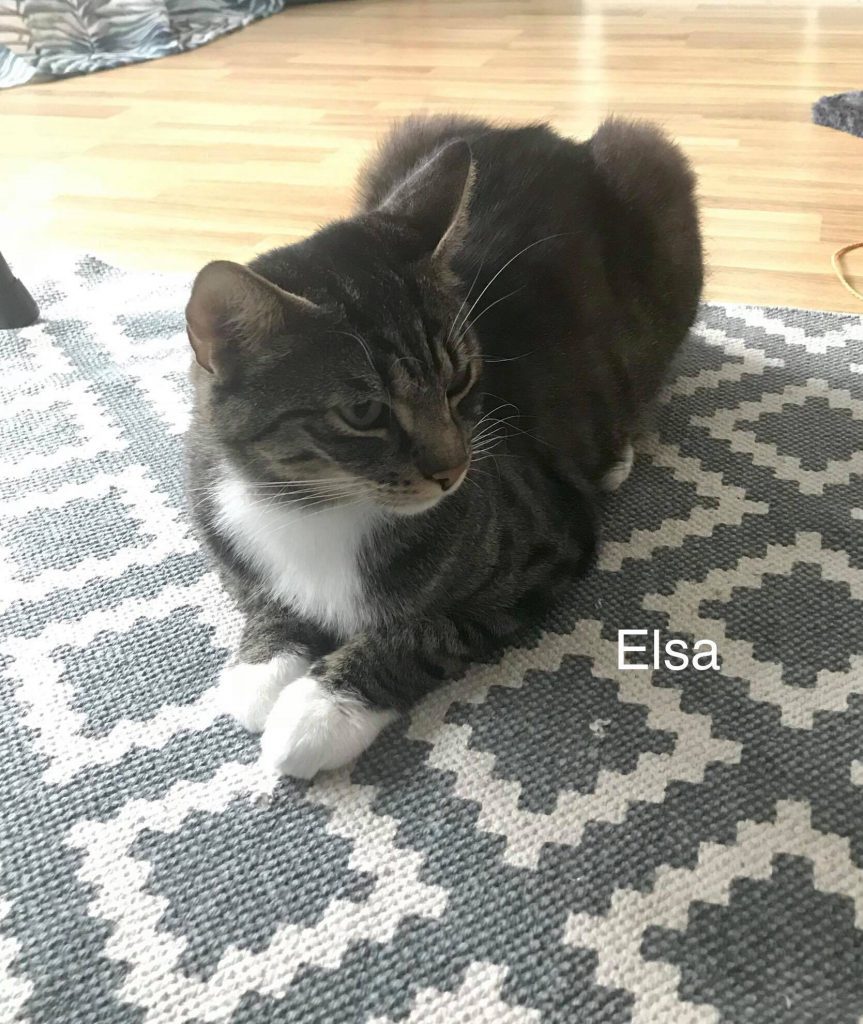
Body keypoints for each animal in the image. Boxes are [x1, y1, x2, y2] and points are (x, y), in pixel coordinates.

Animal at [184, 113, 703, 778]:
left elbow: (428, 630)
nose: (453, 469)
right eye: (363, 412)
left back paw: (619, 453)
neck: (317, 506)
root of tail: (564, 137)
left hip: (655, 183)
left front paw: (318, 710)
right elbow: (260, 593)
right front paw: (264, 667)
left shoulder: (546, 538)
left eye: (459, 378)